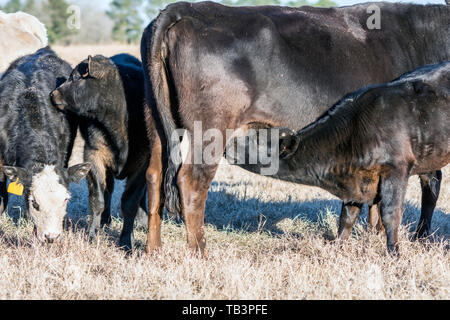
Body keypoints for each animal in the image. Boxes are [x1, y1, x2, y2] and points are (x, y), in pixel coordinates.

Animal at [266, 61, 448, 254]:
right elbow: (347, 216)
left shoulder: (396, 168)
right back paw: (421, 237)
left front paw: (394, 253)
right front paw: (337, 247)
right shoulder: (355, 179)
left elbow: (390, 214)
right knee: (431, 185)